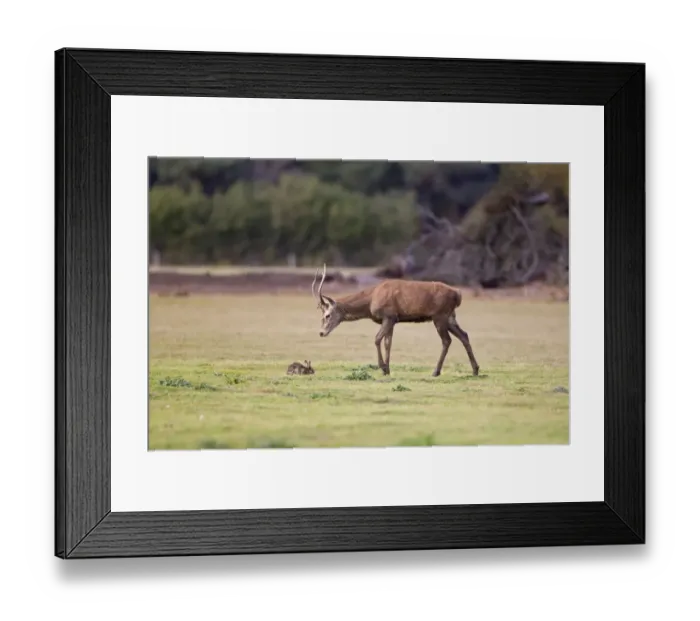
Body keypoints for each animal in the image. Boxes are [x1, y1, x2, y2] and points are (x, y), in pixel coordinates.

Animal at [311, 264, 480, 378]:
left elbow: (377, 339)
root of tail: (458, 294)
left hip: (440, 315)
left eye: (327, 315)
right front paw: (388, 369)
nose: (321, 333)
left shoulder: (389, 315)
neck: (371, 300)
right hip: (450, 316)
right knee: (464, 335)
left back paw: (435, 371)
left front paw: (383, 367)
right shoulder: (392, 320)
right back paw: (475, 369)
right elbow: (388, 343)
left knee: (447, 340)